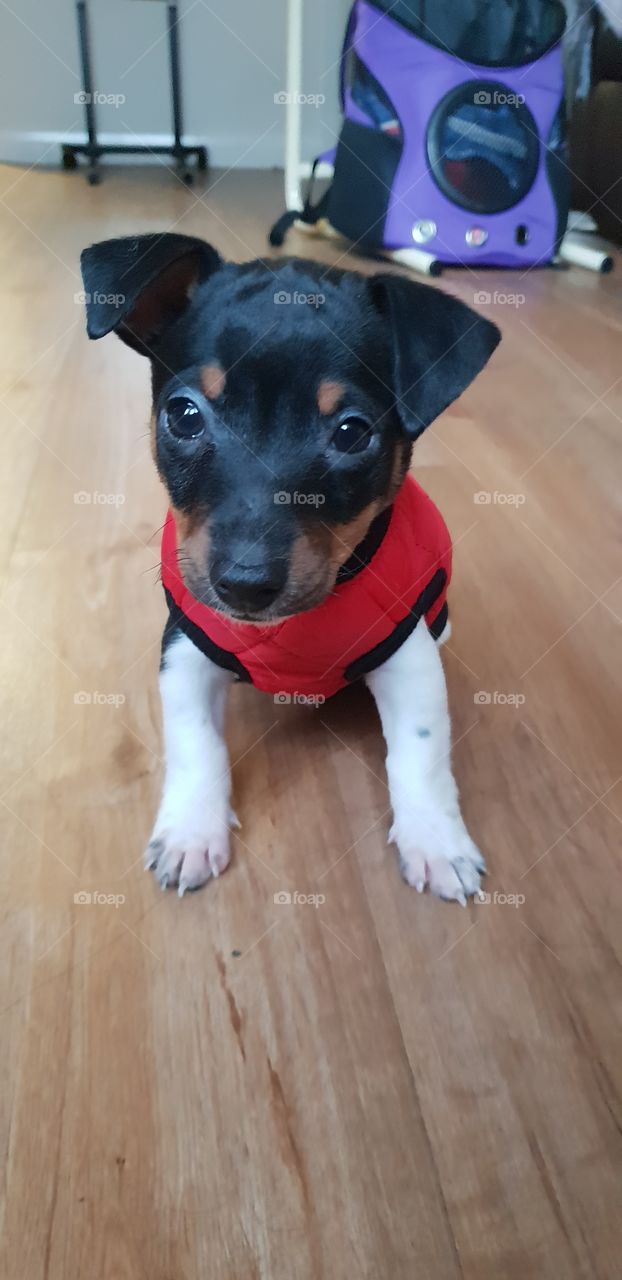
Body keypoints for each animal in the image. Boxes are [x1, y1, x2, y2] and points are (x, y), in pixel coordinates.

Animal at [81, 238, 501, 901]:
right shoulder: (185, 649)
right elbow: (195, 742)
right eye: (184, 416)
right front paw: (190, 830)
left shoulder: (408, 662)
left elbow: (420, 755)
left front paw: (436, 842)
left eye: (353, 433)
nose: (244, 584)